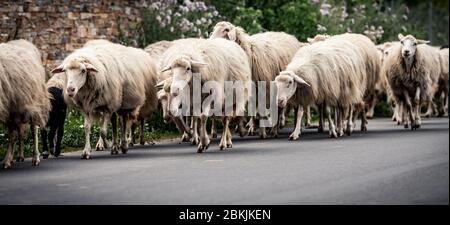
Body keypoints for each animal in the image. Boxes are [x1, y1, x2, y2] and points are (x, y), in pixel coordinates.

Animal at [0, 39, 50, 169]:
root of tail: (24, 41)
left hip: (30, 104)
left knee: (32, 130)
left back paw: (34, 158)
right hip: (15, 109)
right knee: (18, 134)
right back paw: (17, 157)